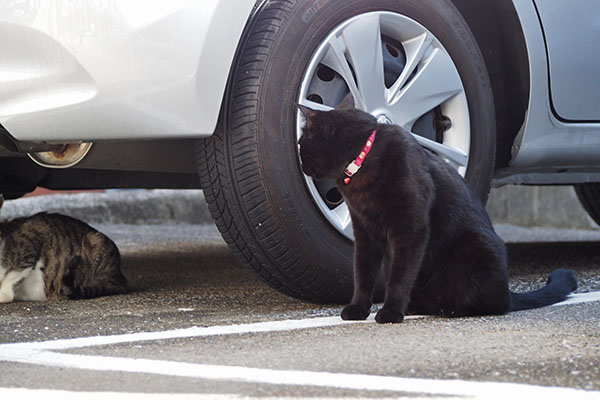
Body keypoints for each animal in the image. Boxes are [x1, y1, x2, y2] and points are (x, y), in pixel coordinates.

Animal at [298, 101, 580, 324]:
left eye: (301, 144)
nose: (300, 163)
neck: (363, 160)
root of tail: (509, 290)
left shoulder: (411, 230)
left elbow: (400, 275)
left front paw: (390, 312)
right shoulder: (365, 232)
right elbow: (363, 273)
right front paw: (358, 308)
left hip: (477, 248)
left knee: (494, 304)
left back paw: (446, 307)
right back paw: (418, 304)